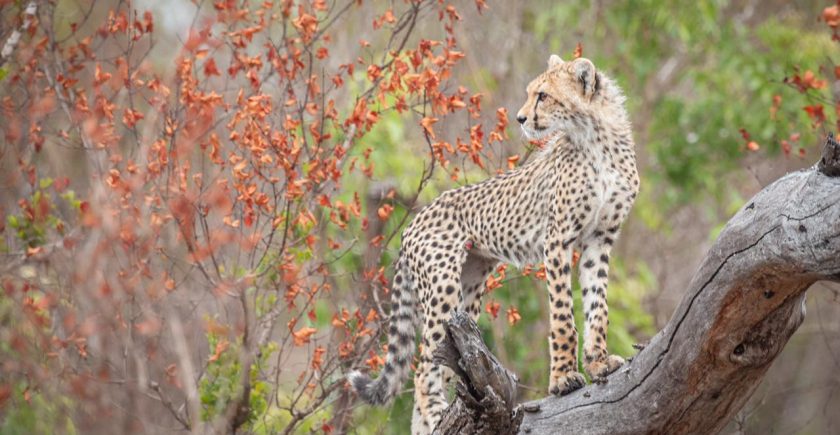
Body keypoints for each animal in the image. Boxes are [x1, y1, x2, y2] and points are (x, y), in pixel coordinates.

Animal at [346, 53, 636, 432]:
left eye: (543, 95)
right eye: (532, 93)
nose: (521, 118)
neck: (596, 136)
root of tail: (413, 222)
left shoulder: (599, 239)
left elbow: (597, 308)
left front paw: (599, 362)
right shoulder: (557, 239)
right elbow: (562, 315)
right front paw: (563, 379)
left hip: (468, 291)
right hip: (442, 288)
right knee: (424, 367)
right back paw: (438, 415)